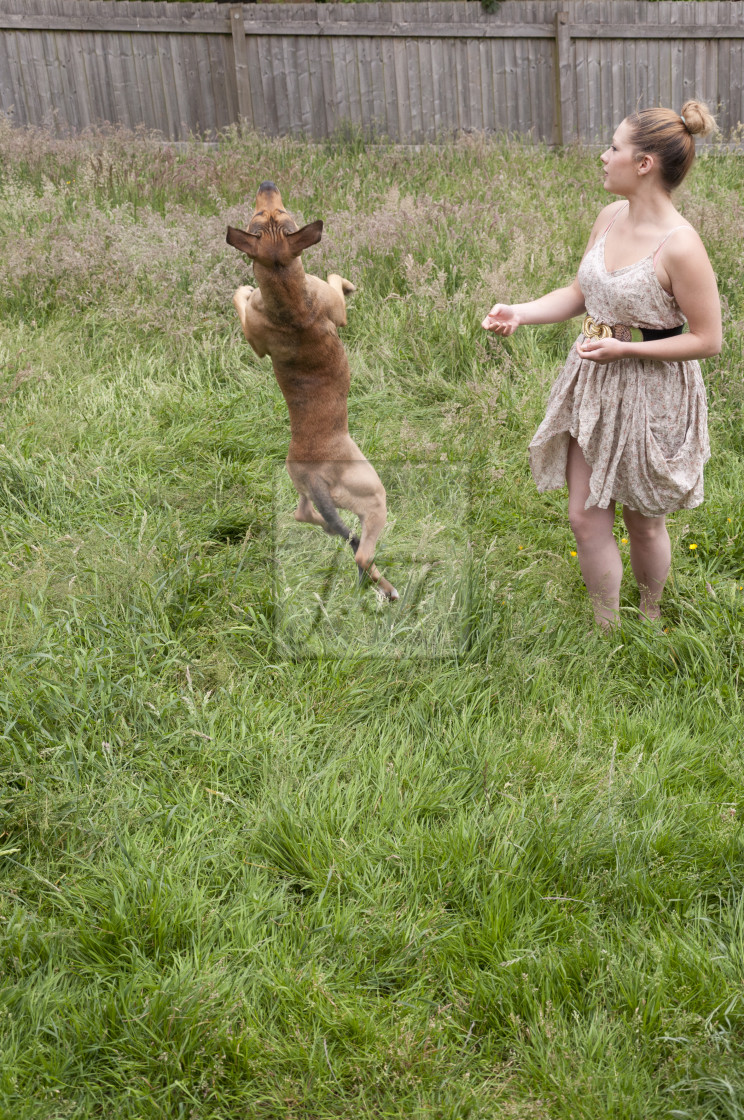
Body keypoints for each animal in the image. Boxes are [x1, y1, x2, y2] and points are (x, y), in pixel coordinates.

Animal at [226, 184, 398, 604]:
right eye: (263, 214)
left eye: (276, 214)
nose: (267, 185)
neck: (284, 288)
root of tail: (319, 473)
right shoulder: (335, 309)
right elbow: (335, 282)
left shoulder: (257, 338)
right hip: (373, 494)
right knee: (362, 553)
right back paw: (386, 587)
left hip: (303, 488)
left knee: (307, 516)